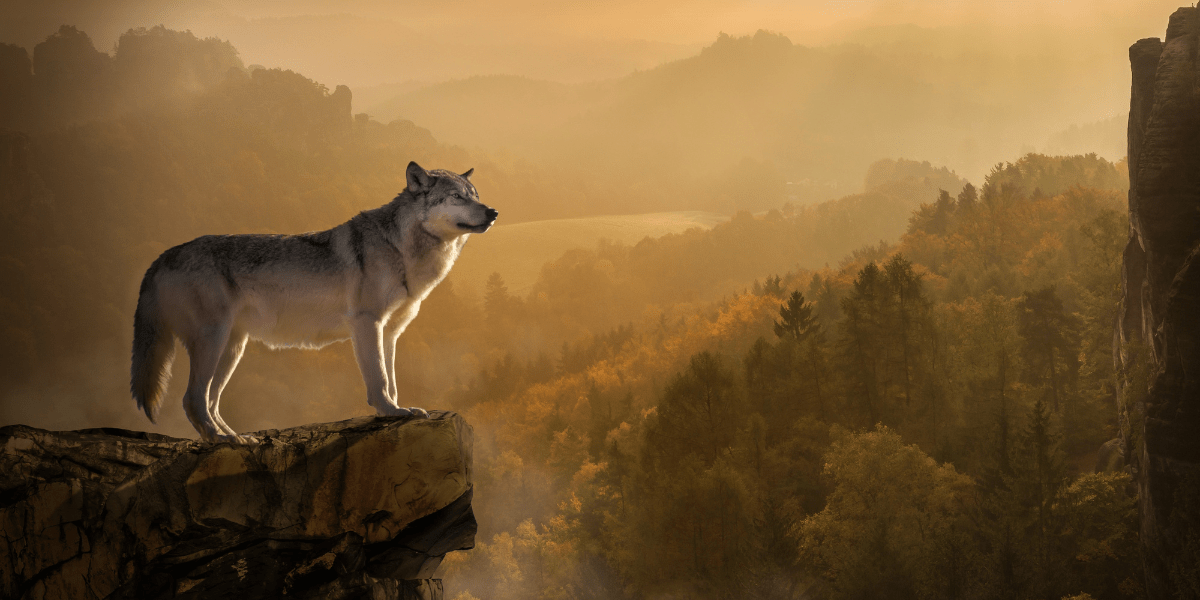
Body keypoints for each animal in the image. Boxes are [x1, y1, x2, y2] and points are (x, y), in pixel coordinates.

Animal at [130, 162, 496, 443]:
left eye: (476, 196)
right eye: (457, 197)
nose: (493, 211)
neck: (402, 249)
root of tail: (162, 256)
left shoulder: (390, 332)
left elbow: (391, 380)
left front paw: (397, 410)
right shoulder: (367, 323)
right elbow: (379, 379)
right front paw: (390, 412)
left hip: (233, 348)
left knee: (211, 401)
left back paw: (236, 437)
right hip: (214, 341)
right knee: (193, 399)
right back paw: (221, 440)